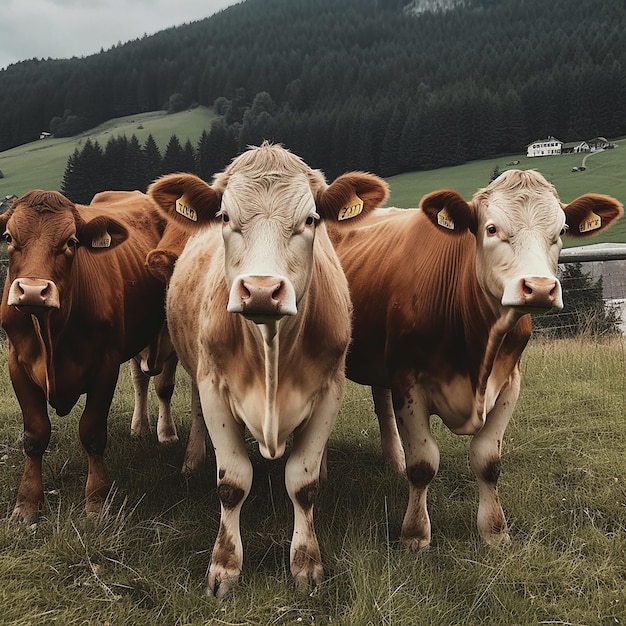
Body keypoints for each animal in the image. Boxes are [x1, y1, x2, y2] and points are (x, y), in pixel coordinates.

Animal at [1, 188, 167, 520]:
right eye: (9, 237)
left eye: (71, 242)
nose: (32, 291)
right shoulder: (17, 364)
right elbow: (35, 435)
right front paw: (26, 504)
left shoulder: (105, 365)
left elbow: (92, 432)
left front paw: (97, 501)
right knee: (140, 378)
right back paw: (140, 428)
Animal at [149, 141, 388, 596]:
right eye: (225, 217)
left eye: (311, 219)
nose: (261, 291)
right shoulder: (214, 387)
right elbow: (232, 483)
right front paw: (224, 567)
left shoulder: (329, 389)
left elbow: (303, 484)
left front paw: (306, 564)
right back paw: (192, 458)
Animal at [326, 168, 620, 548]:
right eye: (491, 229)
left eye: (560, 231)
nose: (540, 288)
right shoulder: (408, 380)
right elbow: (423, 464)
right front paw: (415, 535)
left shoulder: (509, 381)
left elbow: (487, 460)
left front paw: (495, 532)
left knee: (381, 400)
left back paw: (393, 460)